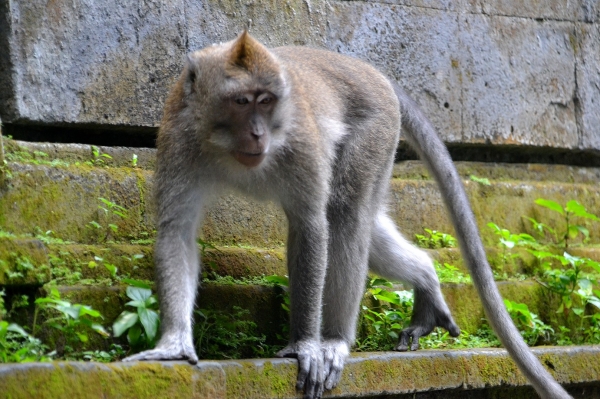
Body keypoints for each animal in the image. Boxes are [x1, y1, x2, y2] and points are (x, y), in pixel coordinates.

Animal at [123, 32, 572, 399]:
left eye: (266, 101)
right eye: (241, 101)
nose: (258, 133)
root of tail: (370, 70)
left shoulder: (300, 141)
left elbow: (311, 226)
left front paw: (304, 345)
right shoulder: (179, 136)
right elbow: (177, 232)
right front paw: (173, 345)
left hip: (377, 130)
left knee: (347, 214)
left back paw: (335, 341)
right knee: (366, 224)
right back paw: (426, 278)